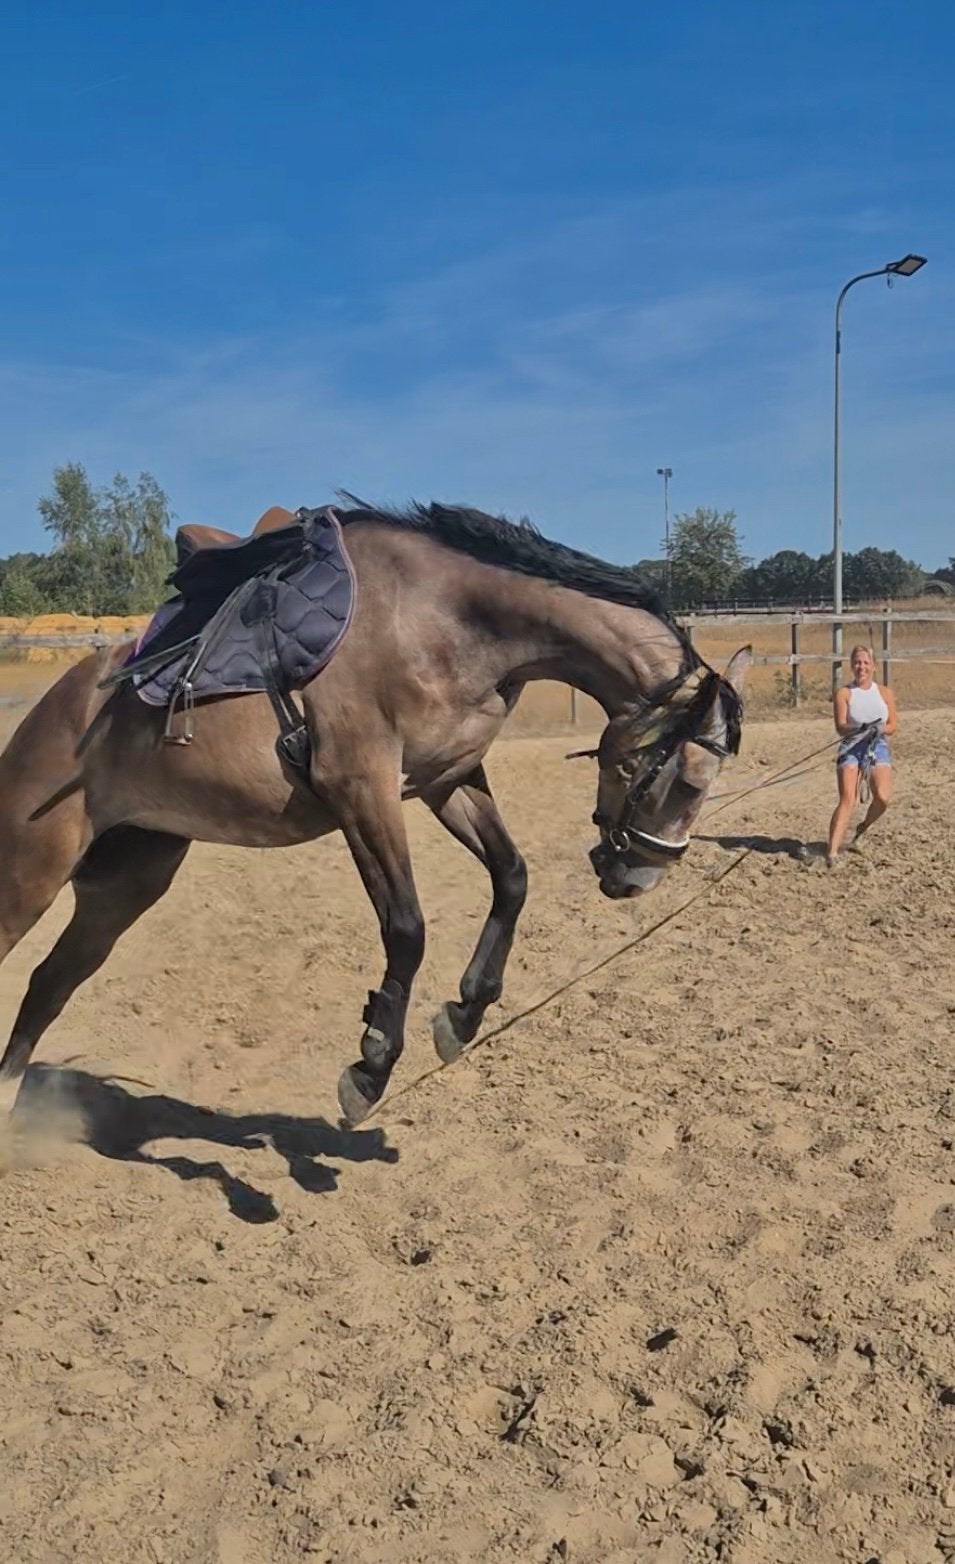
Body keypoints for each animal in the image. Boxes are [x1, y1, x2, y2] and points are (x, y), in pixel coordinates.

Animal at [0, 500, 748, 1129]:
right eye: (685, 781)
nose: (636, 879)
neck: (445, 620)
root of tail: (55, 706)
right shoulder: (362, 789)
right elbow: (407, 928)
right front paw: (370, 1067)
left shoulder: (447, 779)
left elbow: (511, 878)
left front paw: (464, 1013)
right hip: (31, 872)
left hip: (127, 881)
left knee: (49, 983)